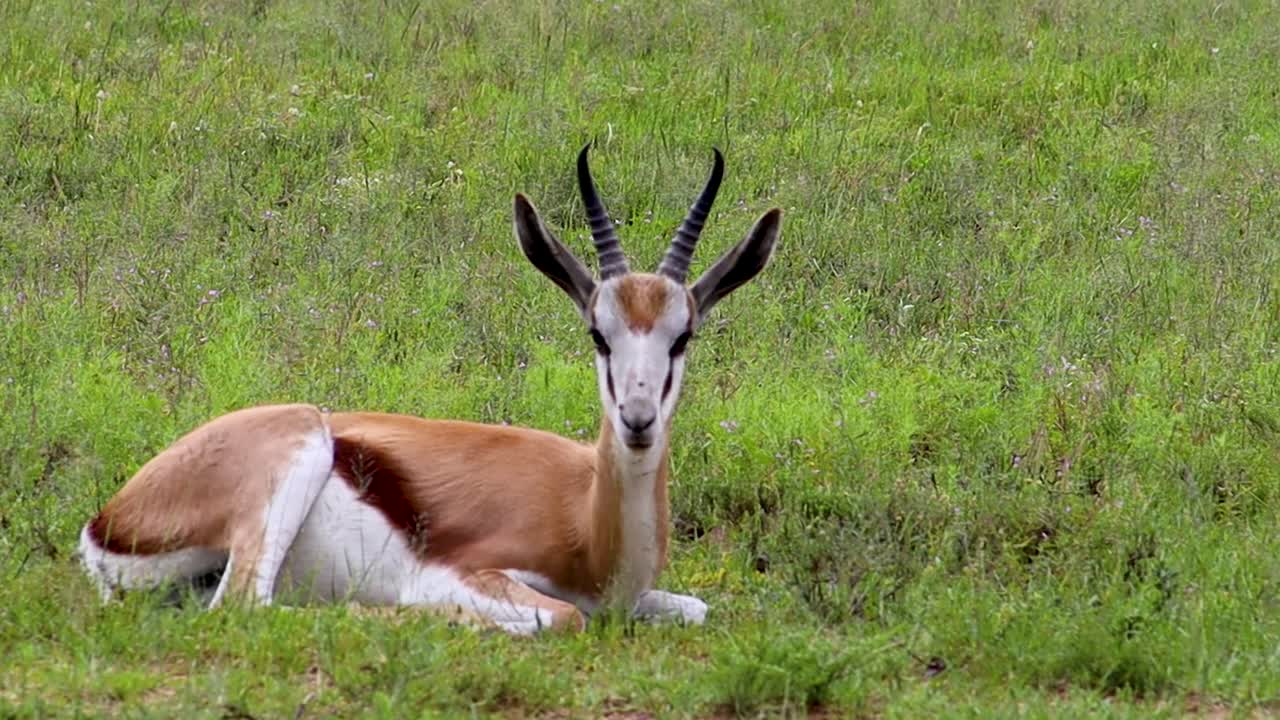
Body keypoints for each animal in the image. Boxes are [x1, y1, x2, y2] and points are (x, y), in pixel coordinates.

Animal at [78, 145, 781, 634]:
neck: (588, 524)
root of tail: (108, 519)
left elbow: (694, 607)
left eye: (682, 335)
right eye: (598, 334)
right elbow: (565, 616)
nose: (637, 419)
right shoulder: (473, 573)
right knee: (249, 605)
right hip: (295, 461)